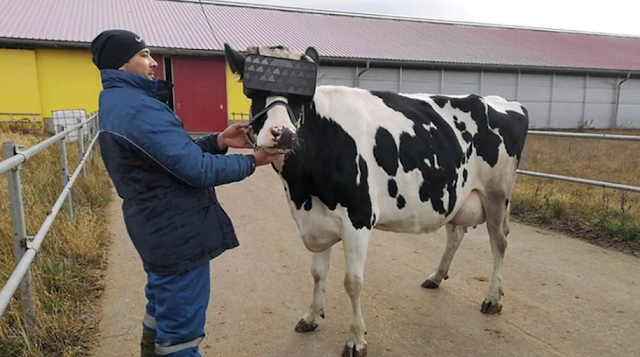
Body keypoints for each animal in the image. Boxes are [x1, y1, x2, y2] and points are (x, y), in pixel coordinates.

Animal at [225, 42, 528, 356]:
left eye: (301, 99)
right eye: (253, 94)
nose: (282, 133)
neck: (302, 189)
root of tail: (502, 101)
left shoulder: (358, 217)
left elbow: (353, 282)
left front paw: (356, 339)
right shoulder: (316, 219)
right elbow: (318, 273)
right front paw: (311, 317)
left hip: (497, 193)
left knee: (499, 241)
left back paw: (492, 298)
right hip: (457, 193)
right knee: (456, 234)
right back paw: (435, 277)